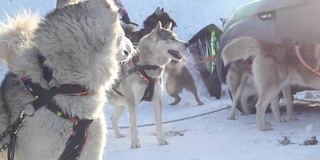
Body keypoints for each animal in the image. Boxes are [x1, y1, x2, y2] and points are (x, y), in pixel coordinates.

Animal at [108, 21, 188, 149]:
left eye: (176, 37)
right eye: (171, 38)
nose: (187, 44)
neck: (147, 66)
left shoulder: (156, 100)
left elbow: (159, 124)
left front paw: (161, 141)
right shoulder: (132, 103)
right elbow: (133, 127)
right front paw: (135, 143)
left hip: (120, 106)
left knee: (112, 118)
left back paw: (118, 135)